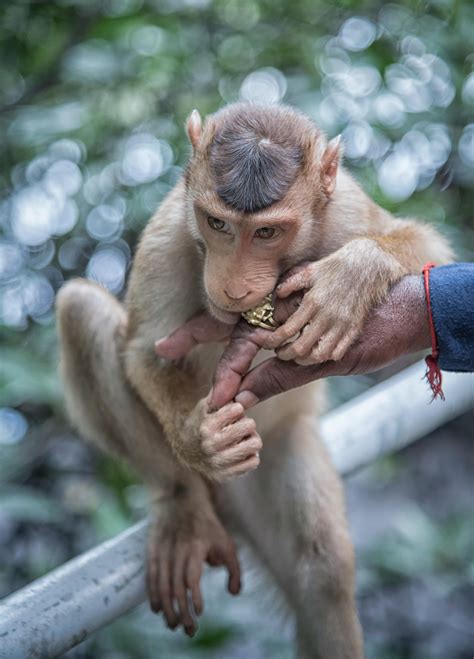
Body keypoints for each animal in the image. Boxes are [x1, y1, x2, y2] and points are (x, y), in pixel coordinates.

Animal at [56, 102, 453, 658]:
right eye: (218, 223)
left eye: (266, 232)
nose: (233, 286)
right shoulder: (170, 234)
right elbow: (145, 355)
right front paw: (199, 439)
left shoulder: (346, 211)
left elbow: (429, 246)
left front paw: (348, 281)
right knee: (79, 309)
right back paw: (182, 503)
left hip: (273, 458)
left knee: (324, 571)